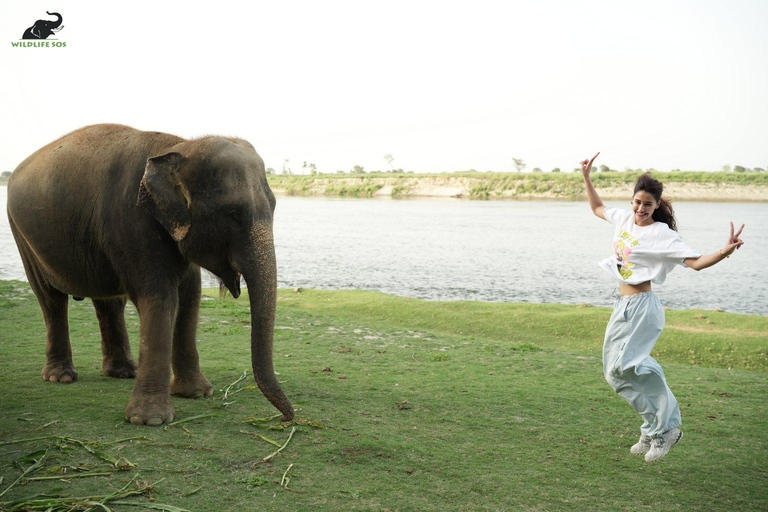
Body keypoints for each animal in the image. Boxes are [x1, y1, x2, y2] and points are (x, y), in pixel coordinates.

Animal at [6, 123, 294, 424]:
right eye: (233, 214)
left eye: (274, 207)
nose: (286, 418)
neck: (177, 147)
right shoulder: (131, 220)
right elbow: (161, 297)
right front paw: (150, 420)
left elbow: (190, 297)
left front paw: (196, 394)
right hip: (22, 235)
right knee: (51, 300)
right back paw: (60, 377)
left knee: (110, 302)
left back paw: (123, 372)